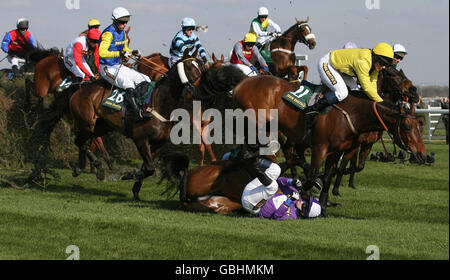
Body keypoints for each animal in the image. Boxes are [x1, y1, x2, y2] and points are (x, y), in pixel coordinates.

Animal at [69, 49, 207, 199]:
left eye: (201, 67)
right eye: (190, 67)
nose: (201, 91)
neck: (158, 103)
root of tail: (79, 90)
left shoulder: (159, 143)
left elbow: (146, 167)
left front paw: (135, 189)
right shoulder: (140, 139)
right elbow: (150, 168)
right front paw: (128, 175)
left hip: (102, 126)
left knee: (83, 142)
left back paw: (84, 168)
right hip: (87, 125)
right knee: (80, 141)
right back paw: (95, 167)